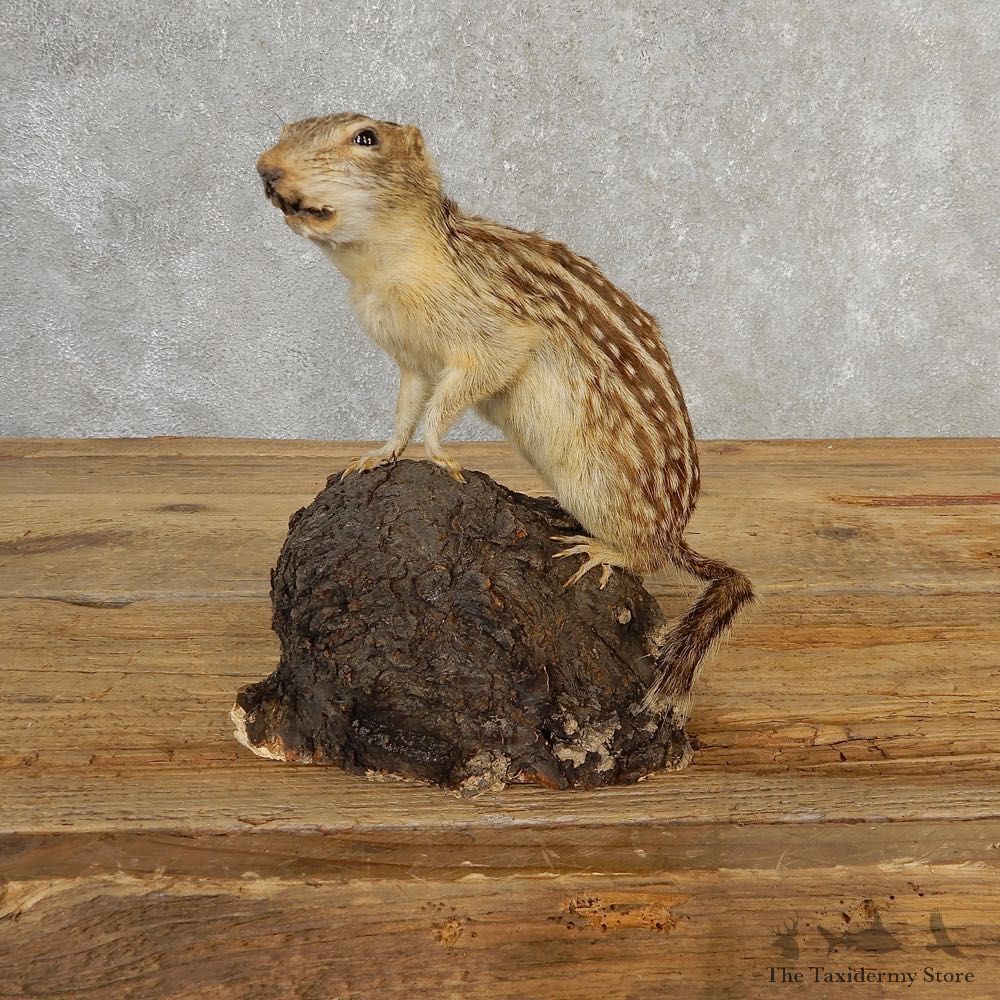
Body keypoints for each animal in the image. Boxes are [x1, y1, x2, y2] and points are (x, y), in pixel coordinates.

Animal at [256, 112, 753, 721]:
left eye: (366, 138)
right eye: (286, 130)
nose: (266, 168)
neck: (382, 270)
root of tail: (675, 531)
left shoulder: (493, 336)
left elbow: (455, 395)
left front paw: (440, 454)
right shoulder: (412, 359)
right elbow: (406, 408)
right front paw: (379, 454)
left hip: (606, 494)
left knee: (649, 559)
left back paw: (599, 548)